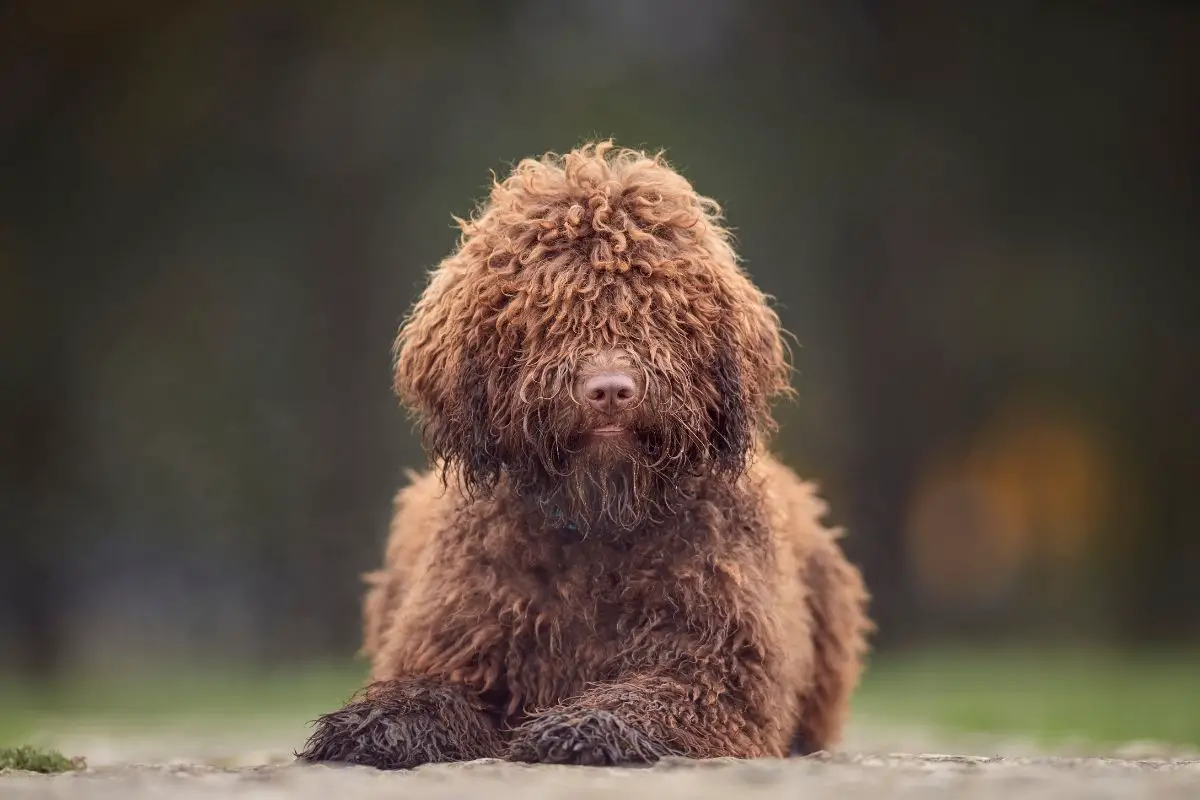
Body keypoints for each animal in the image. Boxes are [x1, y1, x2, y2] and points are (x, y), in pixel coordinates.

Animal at [295, 142, 868, 767]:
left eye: (659, 308)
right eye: (548, 310)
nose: (611, 390)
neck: (600, 527)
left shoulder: (723, 673)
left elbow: (659, 696)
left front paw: (587, 725)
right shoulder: (457, 642)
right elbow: (426, 689)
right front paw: (378, 721)